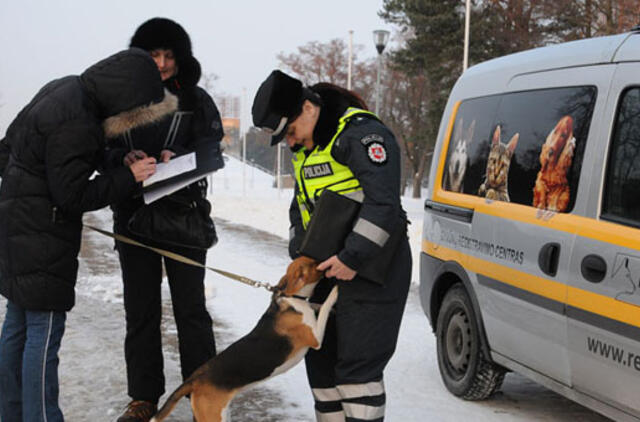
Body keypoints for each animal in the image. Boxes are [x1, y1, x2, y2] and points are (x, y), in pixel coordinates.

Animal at [152, 258, 338, 422]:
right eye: (313, 263)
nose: (326, 263)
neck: (291, 297)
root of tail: (194, 378)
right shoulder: (315, 338)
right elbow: (325, 307)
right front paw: (334, 293)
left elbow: (318, 306)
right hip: (213, 416)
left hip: (222, 414)